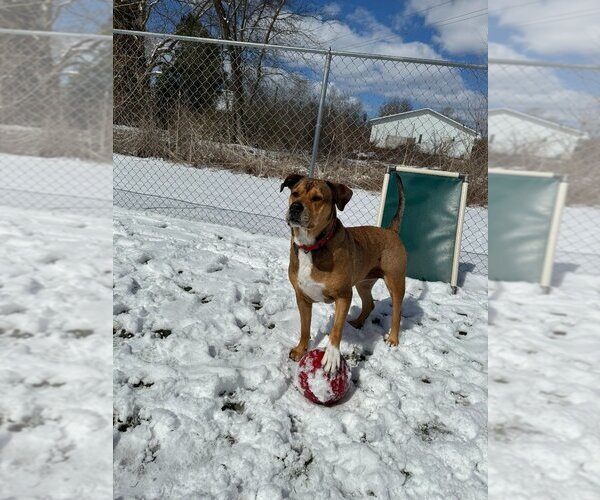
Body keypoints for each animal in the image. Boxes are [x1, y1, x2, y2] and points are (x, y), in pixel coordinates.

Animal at [278, 174, 406, 374]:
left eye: (317, 198)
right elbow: (304, 327)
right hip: (363, 282)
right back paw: (357, 323)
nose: (296, 207)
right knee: (369, 303)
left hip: (395, 281)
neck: (311, 247)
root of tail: (390, 231)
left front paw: (331, 357)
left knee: (397, 312)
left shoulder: (343, 296)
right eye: (295, 193)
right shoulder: (302, 297)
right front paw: (300, 349)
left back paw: (393, 339)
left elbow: (336, 329)